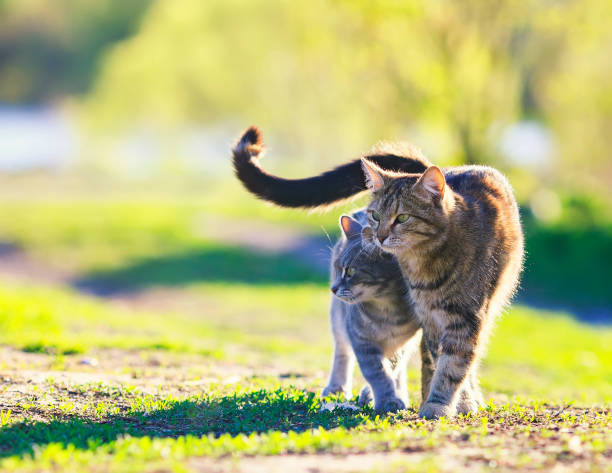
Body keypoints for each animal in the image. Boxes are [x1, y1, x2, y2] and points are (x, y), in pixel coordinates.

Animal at [320, 210, 426, 412]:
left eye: (351, 271)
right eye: (337, 268)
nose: (333, 288)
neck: (387, 310)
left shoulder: (405, 341)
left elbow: (392, 368)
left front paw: (380, 395)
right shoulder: (361, 340)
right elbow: (378, 373)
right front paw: (387, 400)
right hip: (338, 320)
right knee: (342, 352)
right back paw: (336, 387)